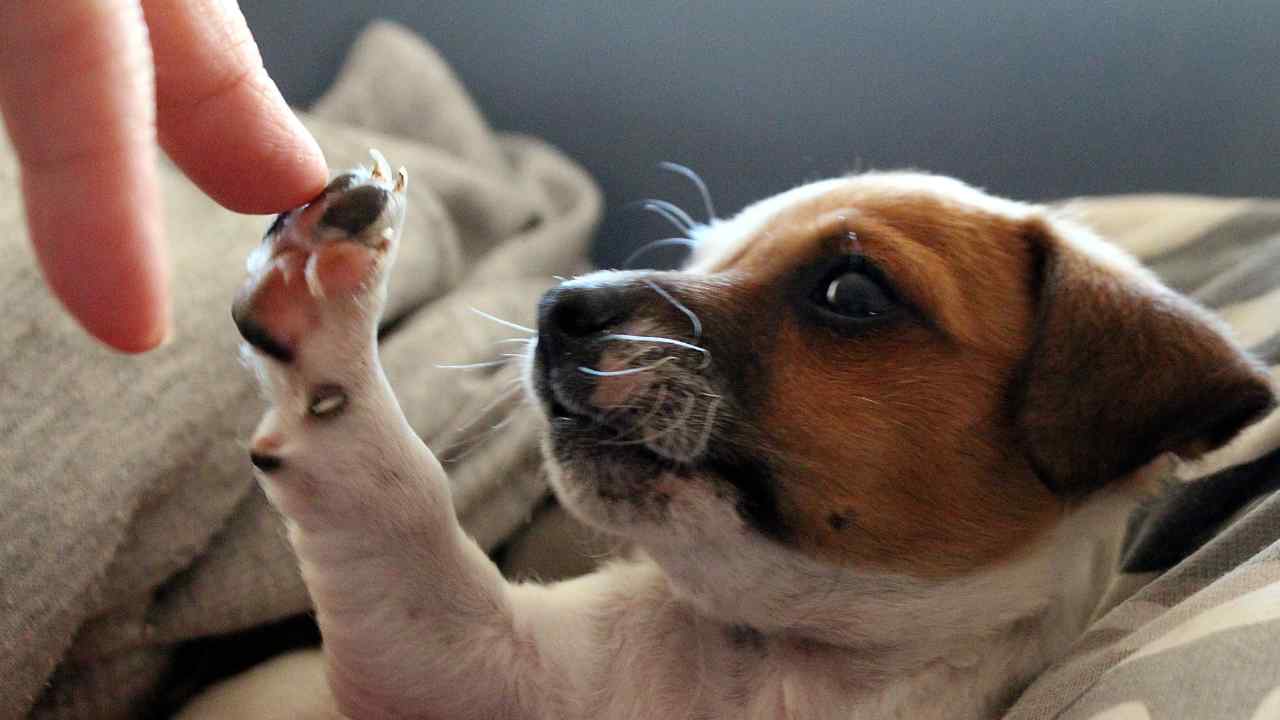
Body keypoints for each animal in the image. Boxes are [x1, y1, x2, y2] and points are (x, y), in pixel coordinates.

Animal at [225, 152, 1274, 717]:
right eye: (698, 255)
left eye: (851, 292)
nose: (558, 305)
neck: (778, 658)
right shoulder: (458, 663)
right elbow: (396, 494)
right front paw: (321, 292)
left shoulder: (435, 667)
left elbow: (391, 491)